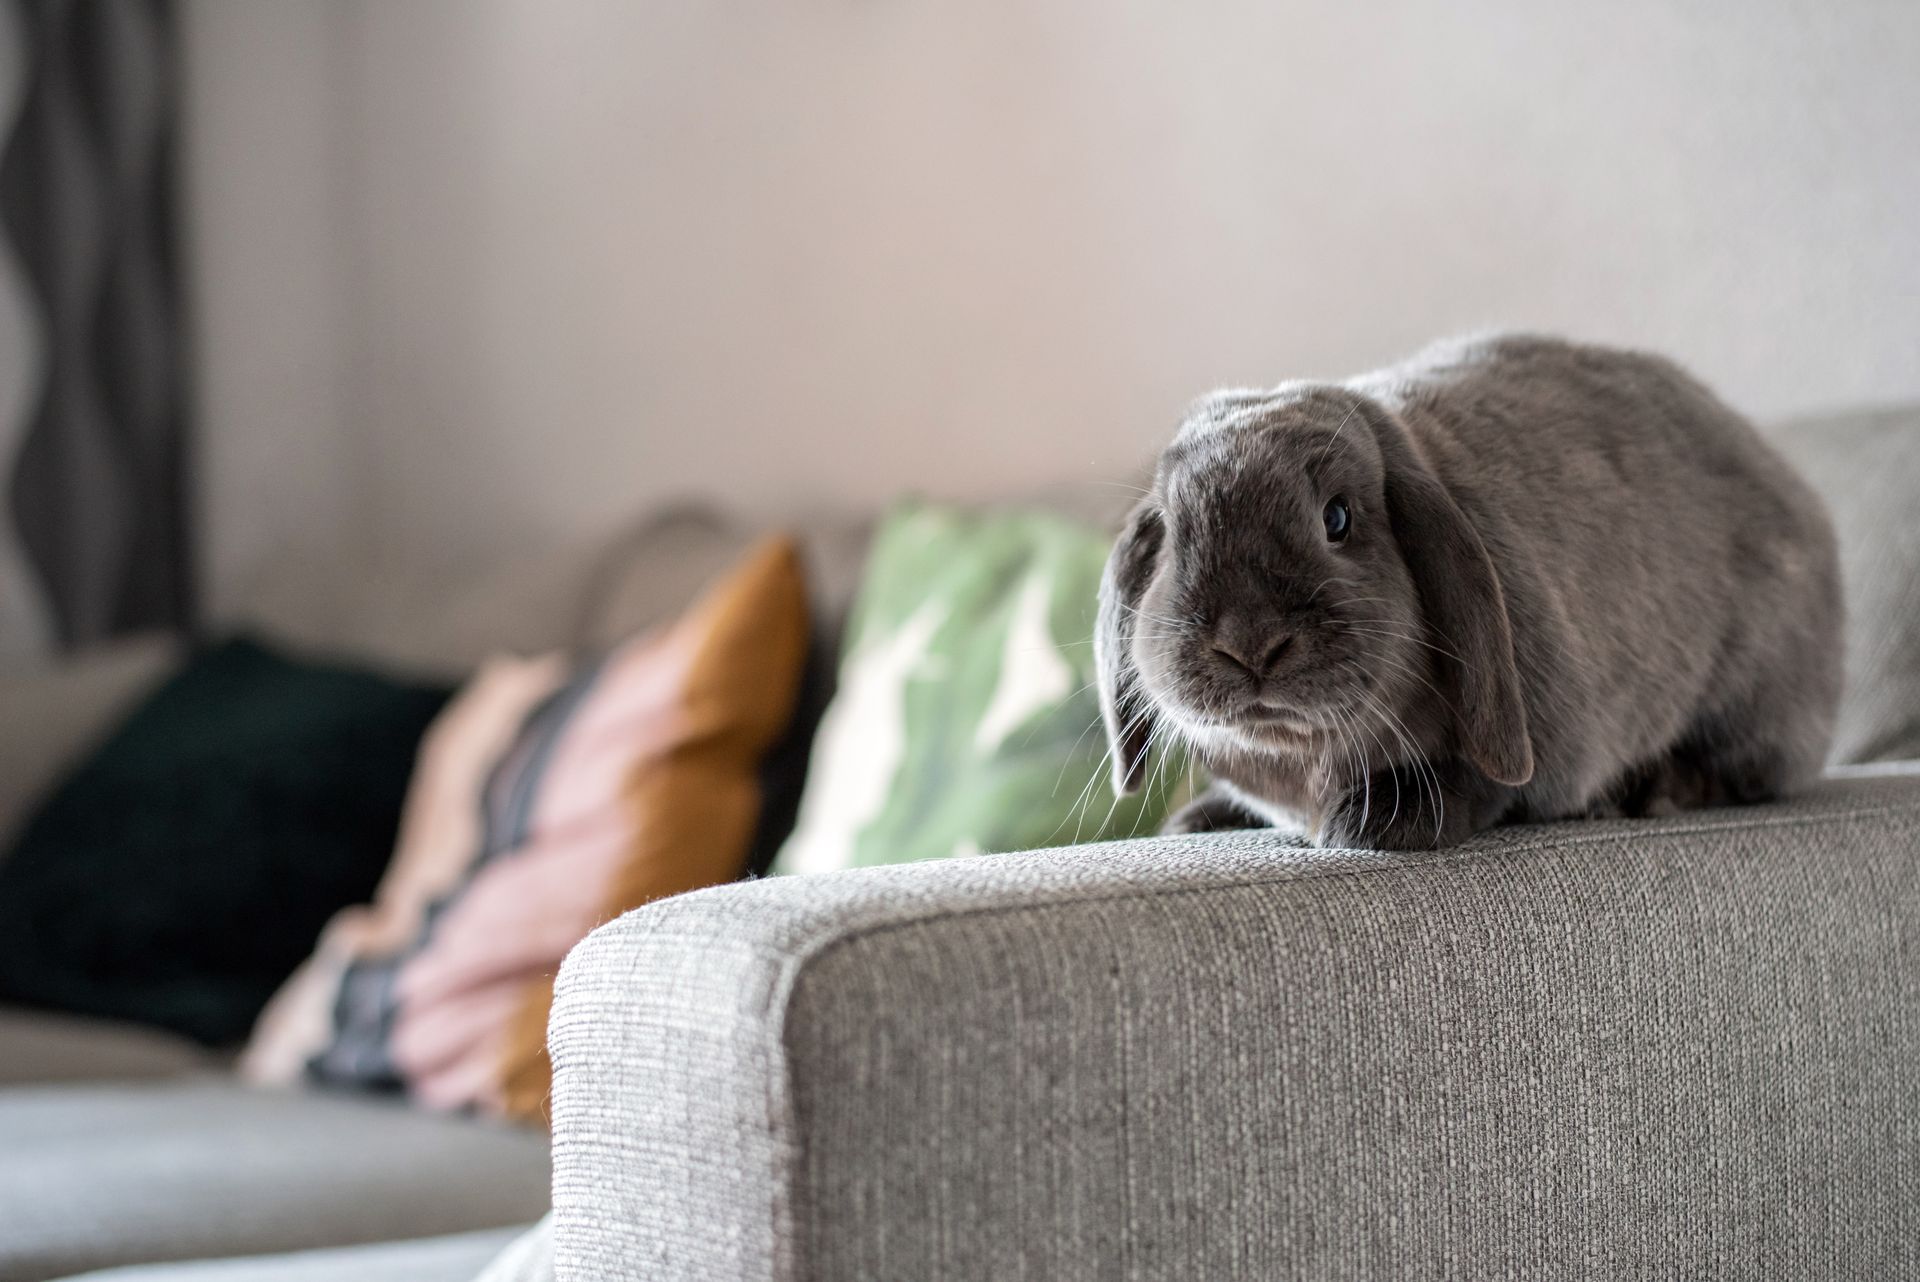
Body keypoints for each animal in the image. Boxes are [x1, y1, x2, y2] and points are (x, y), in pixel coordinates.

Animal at [1096, 333, 1842, 850]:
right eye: (1172, 535)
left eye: (1337, 518)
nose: (1249, 642)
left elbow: (1483, 786)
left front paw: (1375, 823)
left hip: (1753, 695)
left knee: (1744, 773)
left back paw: (1651, 791)